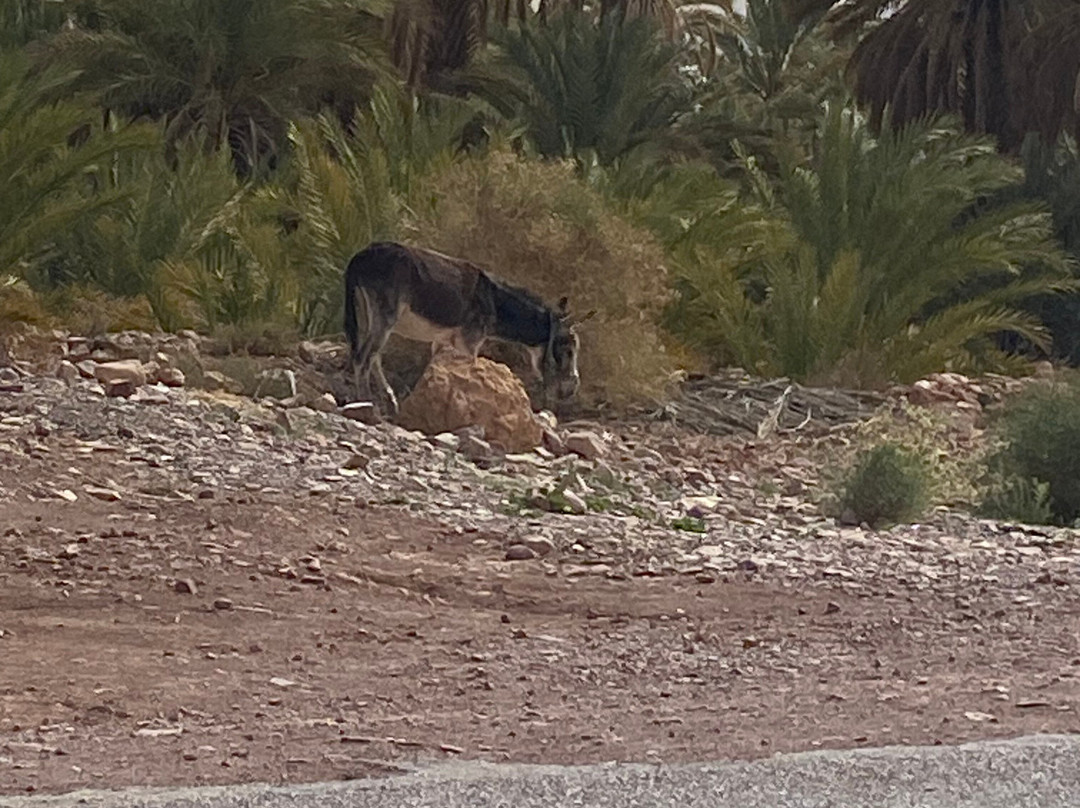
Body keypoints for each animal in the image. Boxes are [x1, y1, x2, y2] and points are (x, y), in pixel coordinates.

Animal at [343, 241, 593, 416]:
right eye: (569, 350)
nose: (572, 389)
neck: (495, 301)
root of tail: (360, 256)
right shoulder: (470, 341)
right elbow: (470, 373)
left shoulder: (443, 340)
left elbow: (437, 371)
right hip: (384, 315)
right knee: (363, 358)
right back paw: (367, 405)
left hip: (368, 315)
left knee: (372, 356)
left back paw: (387, 401)